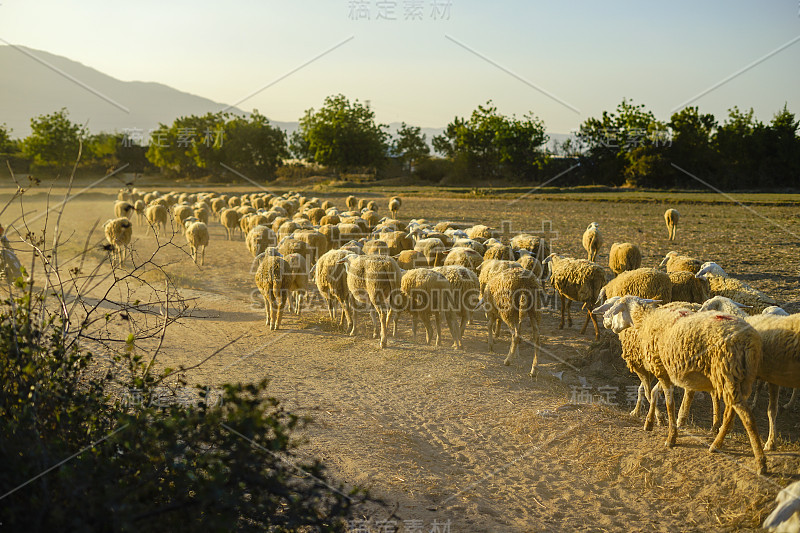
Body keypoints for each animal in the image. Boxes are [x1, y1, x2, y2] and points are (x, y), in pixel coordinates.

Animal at [596, 296, 764, 474]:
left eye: (616, 308)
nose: (605, 321)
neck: (646, 320)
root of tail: (749, 340)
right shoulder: (666, 369)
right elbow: (654, 392)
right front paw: (651, 422)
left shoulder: (661, 369)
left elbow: (668, 403)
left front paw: (671, 437)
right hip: (738, 378)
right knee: (731, 411)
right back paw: (718, 440)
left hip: (727, 372)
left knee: (746, 416)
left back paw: (757, 460)